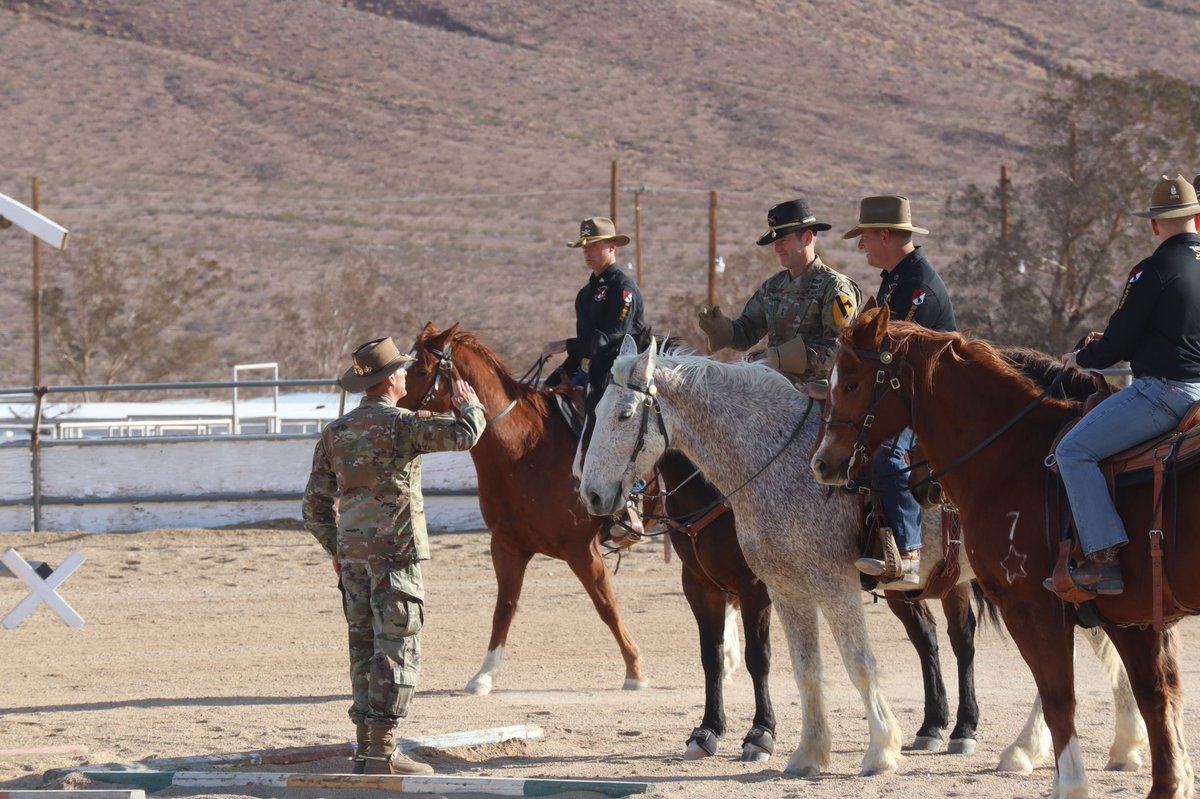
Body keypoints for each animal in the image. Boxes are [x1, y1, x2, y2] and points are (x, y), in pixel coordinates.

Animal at [398, 322, 646, 695]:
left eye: (420, 369)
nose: (387, 403)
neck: (524, 450)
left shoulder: (581, 550)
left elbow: (607, 606)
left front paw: (634, 669)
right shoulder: (508, 546)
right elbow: (504, 608)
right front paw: (484, 675)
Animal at [579, 334, 1146, 780]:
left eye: (625, 414)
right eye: (594, 413)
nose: (591, 494)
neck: (777, 459)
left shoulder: (829, 585)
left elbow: (856, 663)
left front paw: (879, 751)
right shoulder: (784, 590)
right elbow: (804, 668)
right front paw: (808, 754)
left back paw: (1027, 747)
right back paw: (1120, 744)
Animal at [810, 303, 1190, 798]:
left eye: (852, 383)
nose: (822, 464)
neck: (1017, 455)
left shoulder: (1031, 605)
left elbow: (1056, 694)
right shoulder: (1124, 614)